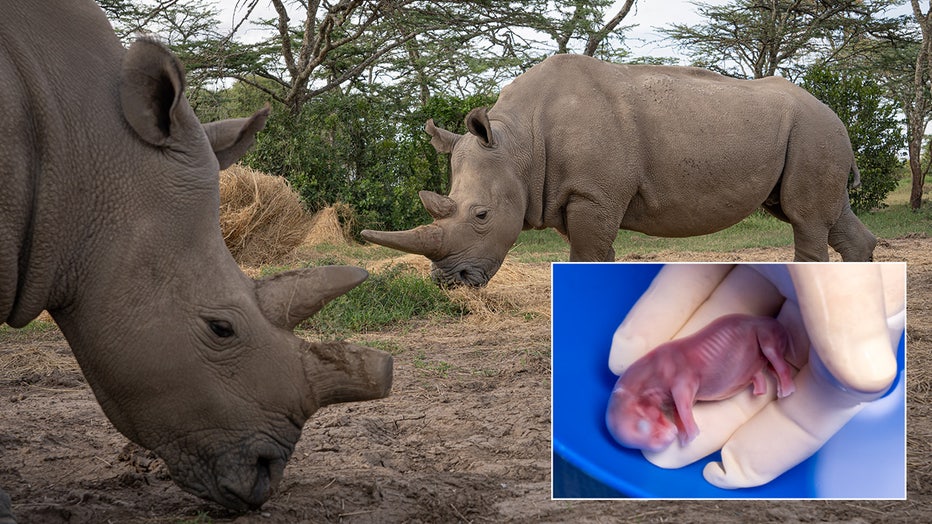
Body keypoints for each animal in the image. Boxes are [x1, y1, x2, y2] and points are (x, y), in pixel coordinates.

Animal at [361, 54, 877, 286]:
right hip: (815, 134)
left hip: (813, 129)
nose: (450, 283)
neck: (518, 143)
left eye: (482, 216)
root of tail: (834, 113)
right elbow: (595, 255)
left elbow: (587, 256)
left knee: (805, 217)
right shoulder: (574, 195)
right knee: (826, 215)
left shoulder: (592, 193)